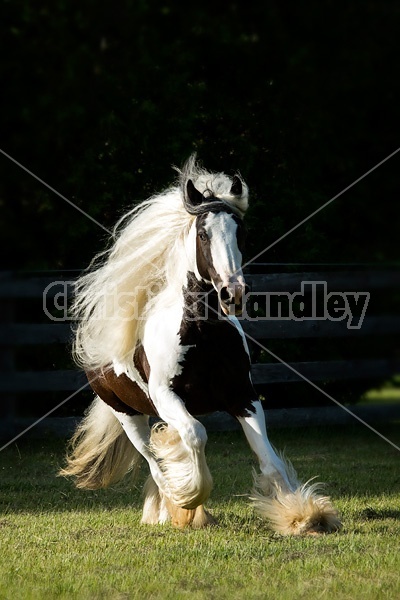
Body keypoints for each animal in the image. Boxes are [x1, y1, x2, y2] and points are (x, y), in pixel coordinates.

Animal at [61, 155, 340, 536]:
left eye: (242, 232)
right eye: (204, 234)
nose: (233, 294)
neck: (201, 334)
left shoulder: (243, 396)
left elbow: (269, 460)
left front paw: (303, 516)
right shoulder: (166, 396)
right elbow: (196, 436)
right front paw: (190, 499)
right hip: (127, 415)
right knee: (154, 463)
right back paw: (175, 509)